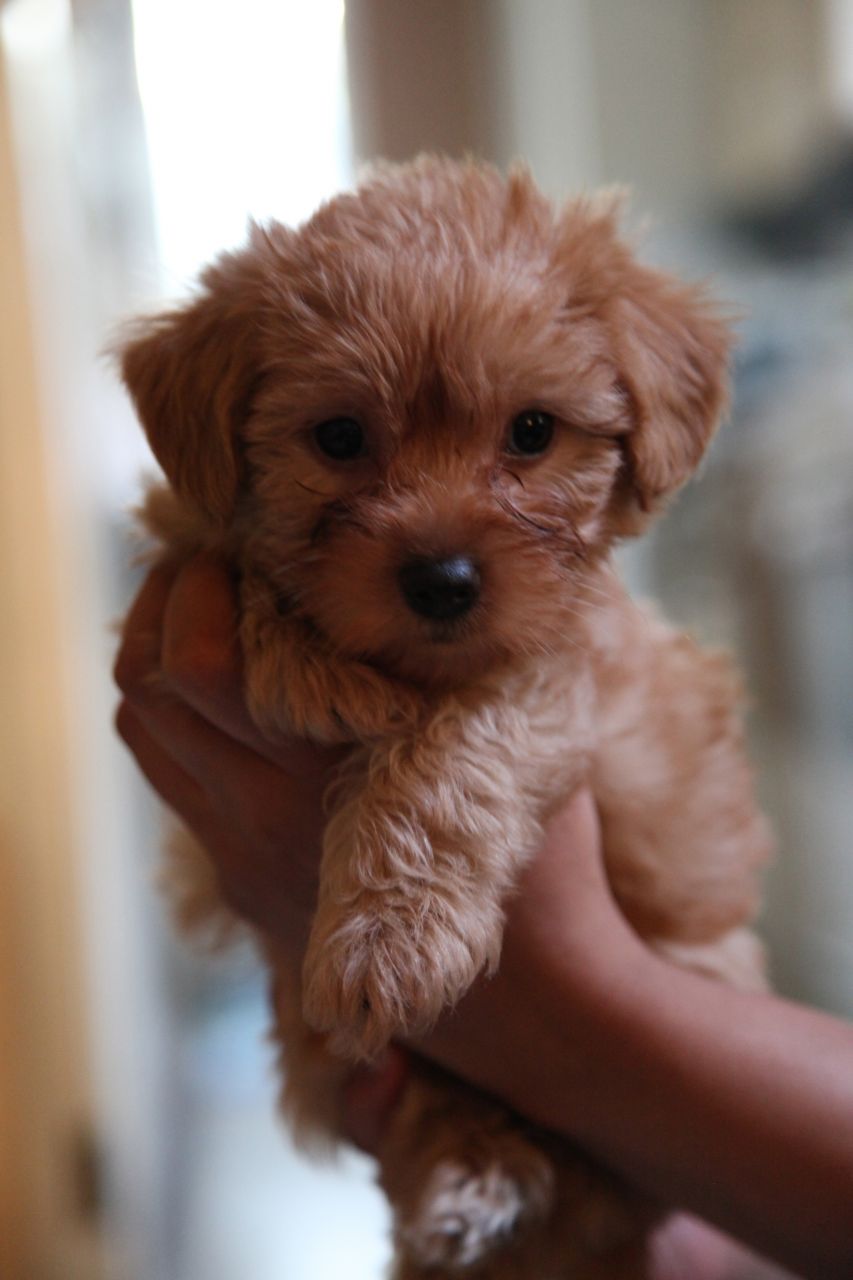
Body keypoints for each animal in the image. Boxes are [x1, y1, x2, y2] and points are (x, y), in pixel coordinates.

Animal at [121, 160, 768, 1280]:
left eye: (532, 431)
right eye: (339, 437)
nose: (443, 581)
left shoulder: (564, 672)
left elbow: (456, 759)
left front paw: (389, 938)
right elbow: (217, 553)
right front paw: (304, 662)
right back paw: (469, 1178)